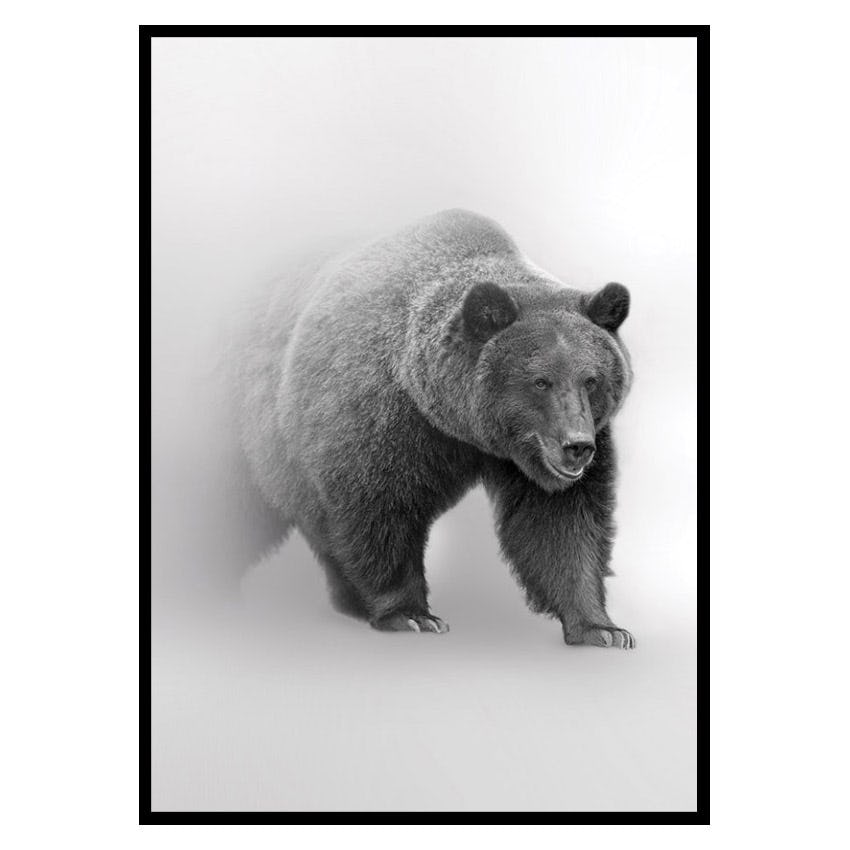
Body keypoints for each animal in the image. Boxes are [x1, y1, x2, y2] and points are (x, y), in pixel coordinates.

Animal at [224, 209, 634, 648]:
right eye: (540, 381)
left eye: (591, 379)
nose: (577, 446)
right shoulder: (377, 418)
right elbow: (378, 508)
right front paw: (411, 614)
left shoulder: (538, 454)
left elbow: (562, 522)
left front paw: (601, 628)